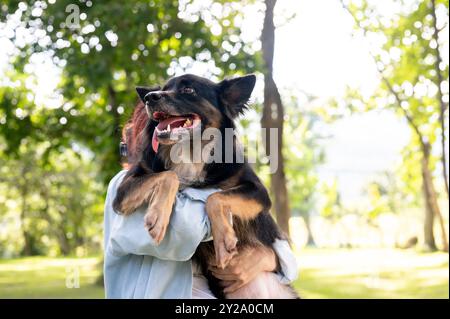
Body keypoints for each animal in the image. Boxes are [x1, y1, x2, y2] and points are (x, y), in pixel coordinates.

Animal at [111, 74, 296, 298]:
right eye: (164, 88)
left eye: (189, 90)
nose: (149, 97)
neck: (190, 152)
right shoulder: (123, 192)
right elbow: (169, 175)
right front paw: (157, 216)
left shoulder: (259, 192)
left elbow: (215, 197)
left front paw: (223, 238)